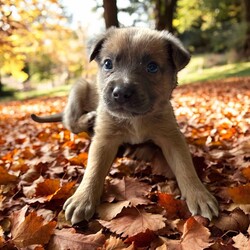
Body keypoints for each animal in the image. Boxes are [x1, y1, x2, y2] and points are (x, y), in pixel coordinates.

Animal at [63, 27, 219, 225]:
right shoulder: (104, 139)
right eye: (108, 64)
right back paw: (88, 118)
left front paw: (199, 195)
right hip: (79, 88)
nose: (120, 93)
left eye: (152, 67)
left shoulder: (172, 137)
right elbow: (94, 169)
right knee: (70, 122)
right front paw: (82, 199)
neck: (135, 119)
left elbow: (185, 167)